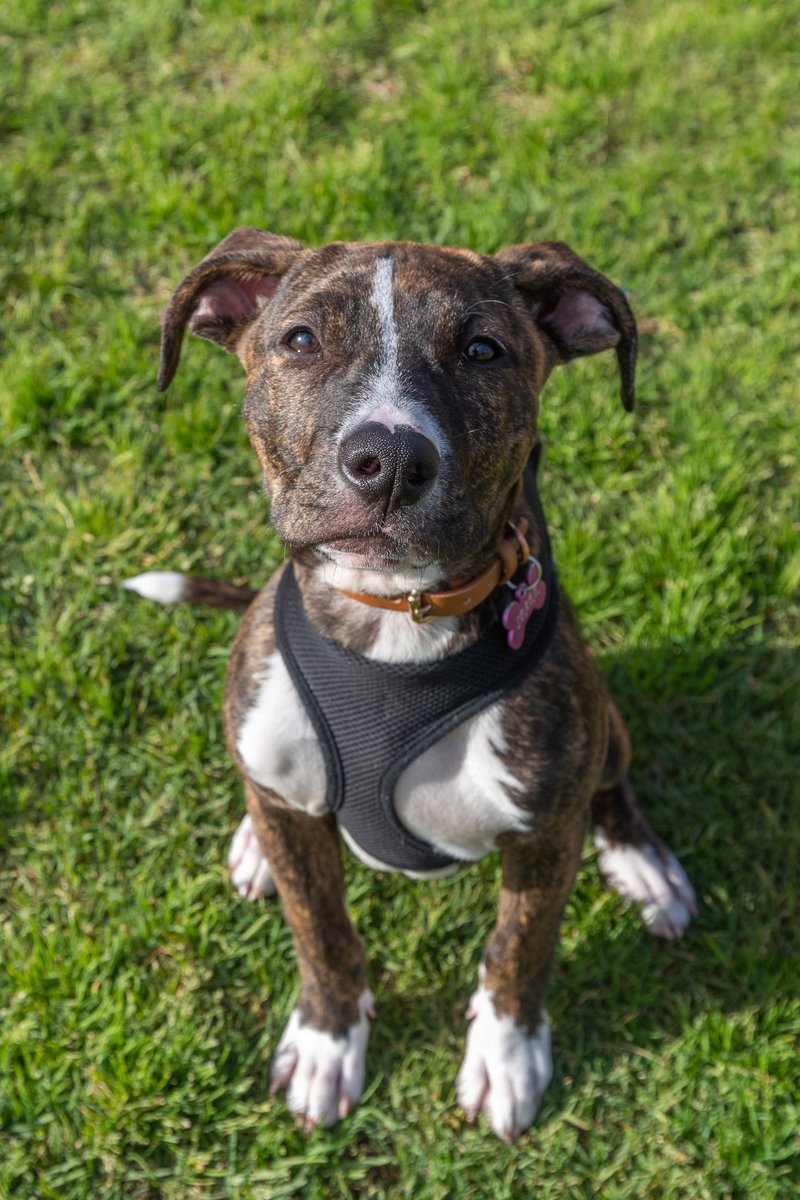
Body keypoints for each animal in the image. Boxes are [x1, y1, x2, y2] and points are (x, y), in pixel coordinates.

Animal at [125, 229, 695, 1137]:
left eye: (483, 350)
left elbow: (518, 949)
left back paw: (643, 864)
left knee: (611, 784)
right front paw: (327, 1042)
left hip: (601, 722)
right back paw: (256, 842)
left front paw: (506, 1056)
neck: (395, 621)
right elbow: (322, 932)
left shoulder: (542, 835)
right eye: (301, 340)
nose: (389, 460)